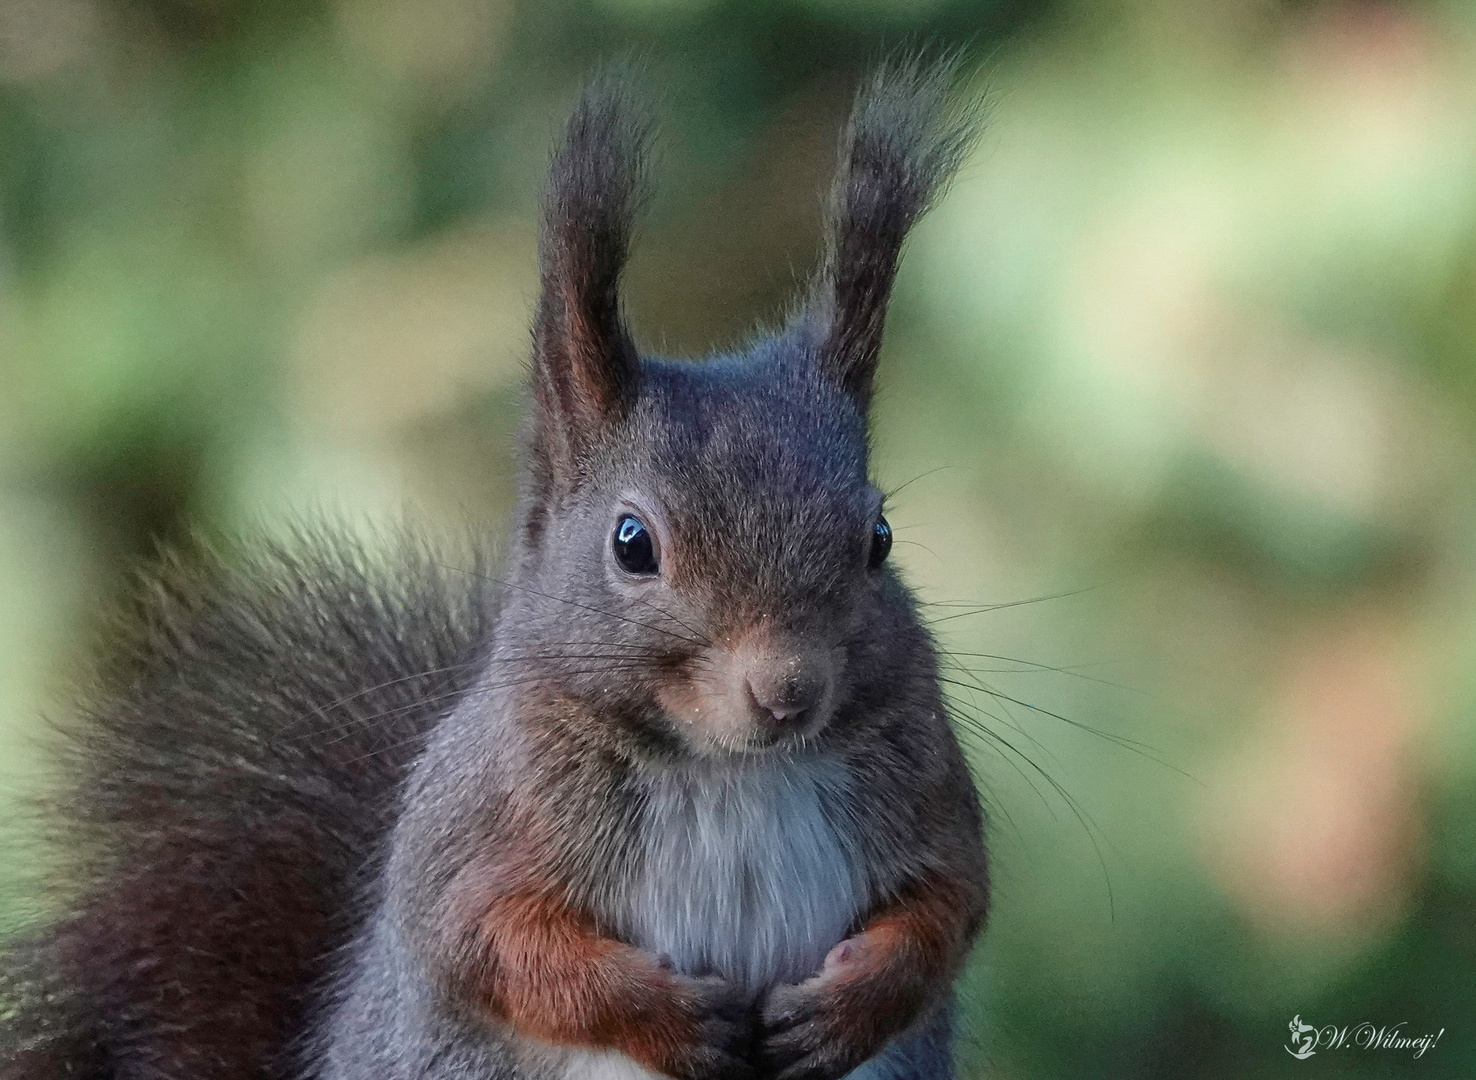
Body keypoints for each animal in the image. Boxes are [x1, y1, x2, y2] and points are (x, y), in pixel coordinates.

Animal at [2, 56, 991, 1080]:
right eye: (632, 543)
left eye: (879, 538)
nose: (789, 690)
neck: (734, 773)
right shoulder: (474, 835)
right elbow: (496, 945)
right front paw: (672, 1017)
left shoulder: (934, 805)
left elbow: (949, 909)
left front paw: (847, 1004)